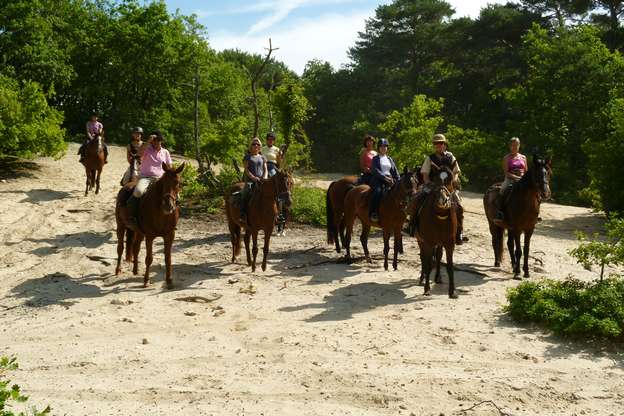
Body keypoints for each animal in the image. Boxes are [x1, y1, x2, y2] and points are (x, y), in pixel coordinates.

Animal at [114, 162, 184, 290]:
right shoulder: (150, 236)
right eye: (163, 183)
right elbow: (149, 259)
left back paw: (135, 270)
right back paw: (118, 270)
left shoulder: (169, 235)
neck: (161, 212)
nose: (168, 206)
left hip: (139, 232)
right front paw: (146, 281)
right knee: (120, 248)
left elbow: (168, 258)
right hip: (121, 226)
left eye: (178, 183)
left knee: (135, 248)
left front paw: (169, 281)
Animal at [410, 164, 458, 298]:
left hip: (439, 243)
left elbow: (449, 266)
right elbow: (427, 263)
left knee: (438, 256)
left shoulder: (449, 243)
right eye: (436, 180)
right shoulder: (428, 242)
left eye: (450, 180)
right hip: (421, 241)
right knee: (424, 258)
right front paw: (427, 289)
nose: (442, 200)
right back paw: (422, 278)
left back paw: (438, 277)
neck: (440, 216)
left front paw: (452, 292)